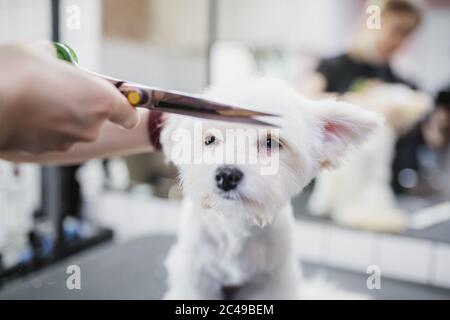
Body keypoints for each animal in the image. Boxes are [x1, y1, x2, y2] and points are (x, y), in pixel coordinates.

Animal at [160, 78, 382, 300]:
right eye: (209, 139)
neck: (237, 225)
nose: (226, 176)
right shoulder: (196, 276)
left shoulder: (270, 283)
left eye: (271, 142)